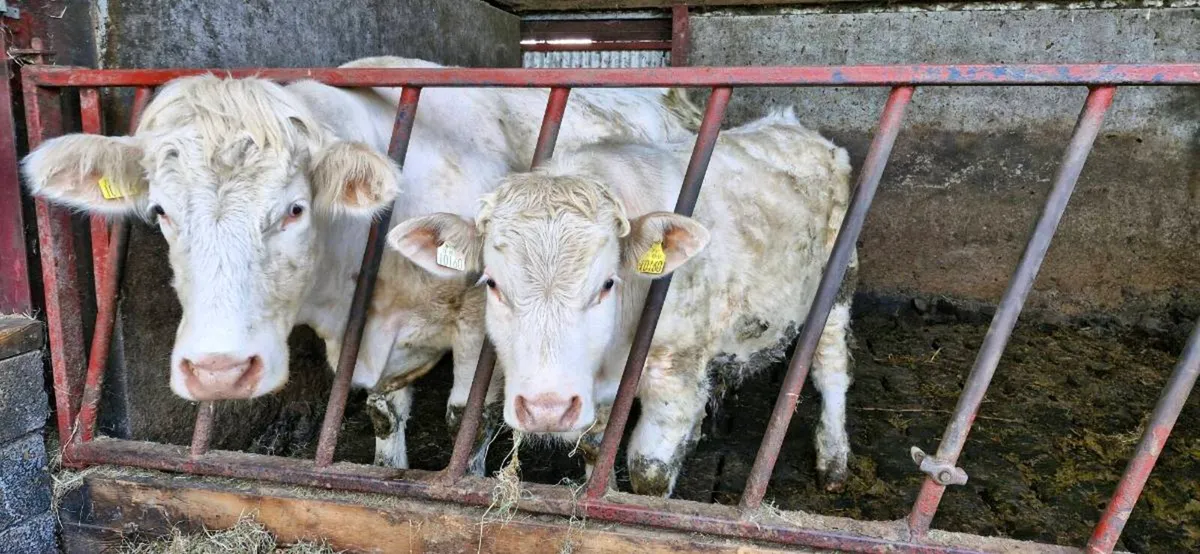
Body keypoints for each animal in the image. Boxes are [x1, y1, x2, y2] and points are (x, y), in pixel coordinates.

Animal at [20, 56, 702, 469]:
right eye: (160, 211)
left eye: (295, 209)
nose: (218, 370)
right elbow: (380, 411)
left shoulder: (477, 317)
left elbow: (469, 415)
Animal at [387, 108, 856, 496]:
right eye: (492, 284)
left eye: (608, 283)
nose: (545, 408)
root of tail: (793, 125)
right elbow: (595, 447)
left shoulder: (674, 374)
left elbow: (650, 469)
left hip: (838, 289)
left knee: (831, 369)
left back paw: (834, 461)